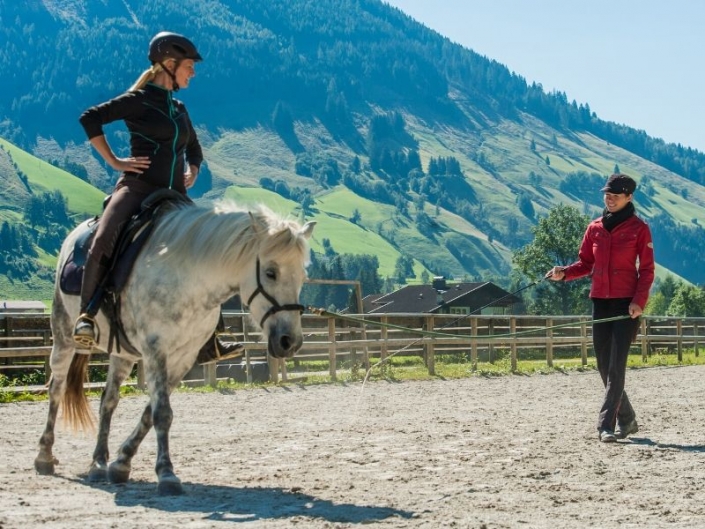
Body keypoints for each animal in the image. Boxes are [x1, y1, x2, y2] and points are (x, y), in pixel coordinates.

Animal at [34, 202, 314, 496]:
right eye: (271, 272)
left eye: (302, 277)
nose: (290, 341)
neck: (188, 280)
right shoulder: (155, 350)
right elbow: (162, 413)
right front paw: (166, 473)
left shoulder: (183, 357)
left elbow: (151, 411)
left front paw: (122, 462)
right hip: (63, 337)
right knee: (56, 389)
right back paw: (44, 456)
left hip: (122, 354)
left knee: (108, 401)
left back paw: (98, 463)